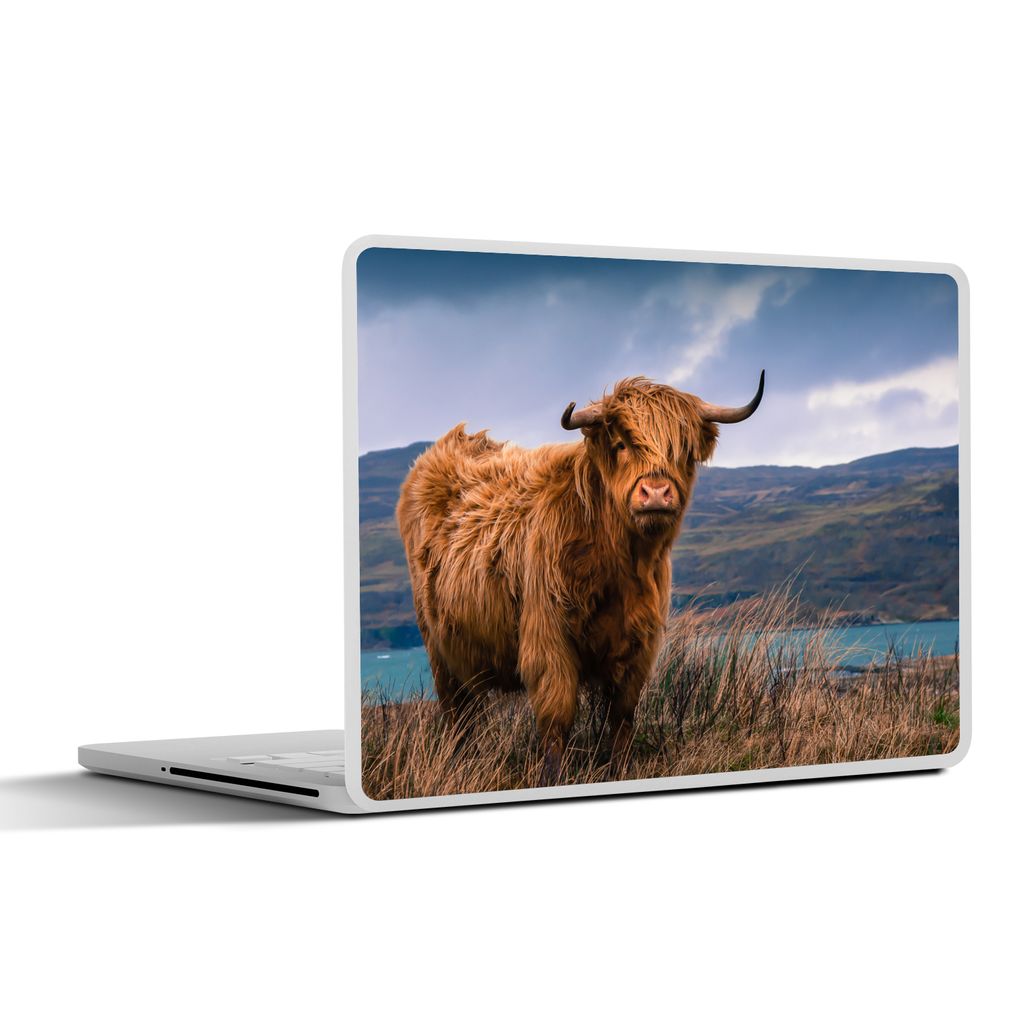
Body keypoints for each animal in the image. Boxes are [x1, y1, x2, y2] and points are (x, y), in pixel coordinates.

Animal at [395, 372, 764, 785]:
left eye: (682, 451)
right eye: (621, 444)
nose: (656, 493)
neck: (619, 564)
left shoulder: (638, 645)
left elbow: (622, 717)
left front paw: (620, 769)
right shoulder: (548, 639)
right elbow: (557, 719)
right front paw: (552, 777)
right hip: (439, 649)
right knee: (457, 714)